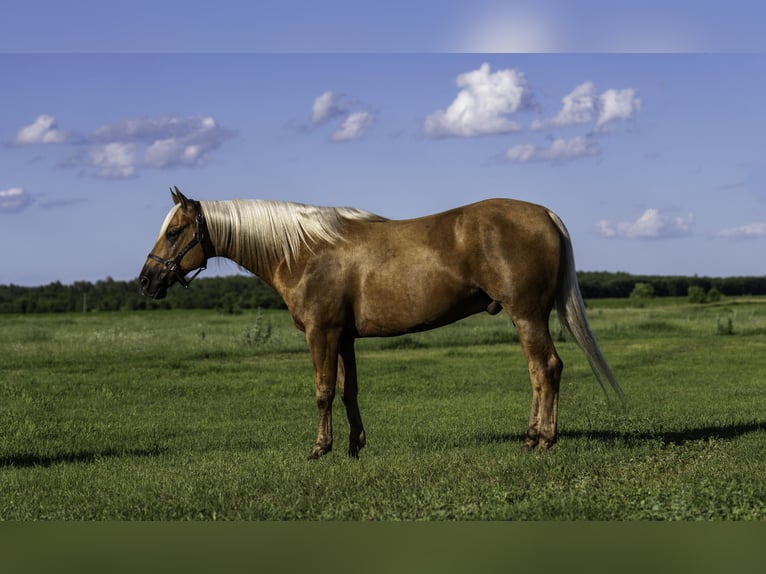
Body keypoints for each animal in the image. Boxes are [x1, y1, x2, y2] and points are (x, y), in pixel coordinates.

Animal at [139, 187, 623, 459]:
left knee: (546, 370)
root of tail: (545, 214)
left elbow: (322, 392)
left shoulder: (321, 333)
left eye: (175, 232)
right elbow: (347, 390)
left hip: (526, 316)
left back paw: (542, 441)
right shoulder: (343, 337)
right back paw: (531, 437)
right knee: (539, 373)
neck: (304, 250)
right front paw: (355, 446)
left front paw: (320, 449)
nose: (146, 281)